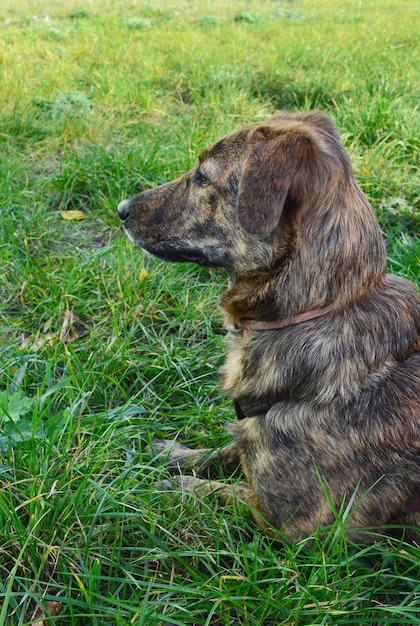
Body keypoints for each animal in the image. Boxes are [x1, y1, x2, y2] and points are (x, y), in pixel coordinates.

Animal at [115, 109, 420, 540]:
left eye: (204, 178)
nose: (121, 208)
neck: (321, 310)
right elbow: (229, 446)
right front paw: (182, 454)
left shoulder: (292, 527)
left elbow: (225, 493)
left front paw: (180, 485)